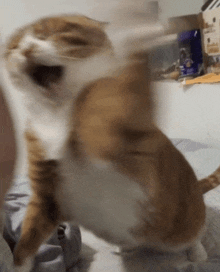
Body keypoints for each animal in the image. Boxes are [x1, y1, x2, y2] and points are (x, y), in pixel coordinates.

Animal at [2, 12, 220, 272]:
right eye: (15, 45)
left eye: (49, 33)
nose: (25, 48)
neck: (56, 116)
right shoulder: (47, 199)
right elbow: (26, 242)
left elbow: (102, 111)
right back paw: (125, 246)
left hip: (182, 224)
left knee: (194, 232)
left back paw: (197, 252)